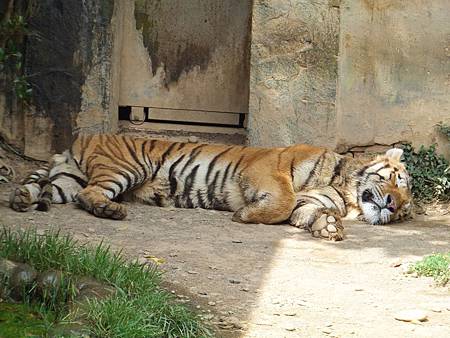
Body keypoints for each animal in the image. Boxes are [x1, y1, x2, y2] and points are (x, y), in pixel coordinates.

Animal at [8, 133, 414, 240]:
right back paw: (112, 210)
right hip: (126, 167)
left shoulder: (311, 201)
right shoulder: (269, 168)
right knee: (87, 195)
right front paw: (245, 214)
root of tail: (80, 139)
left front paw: (328, 226)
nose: (394, 206)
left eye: (406, 208)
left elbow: (310, 211)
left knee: (61, 192)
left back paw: (21, 199)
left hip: (68, 177)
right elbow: (282, 200)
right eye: (395, 179)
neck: (343, 188)